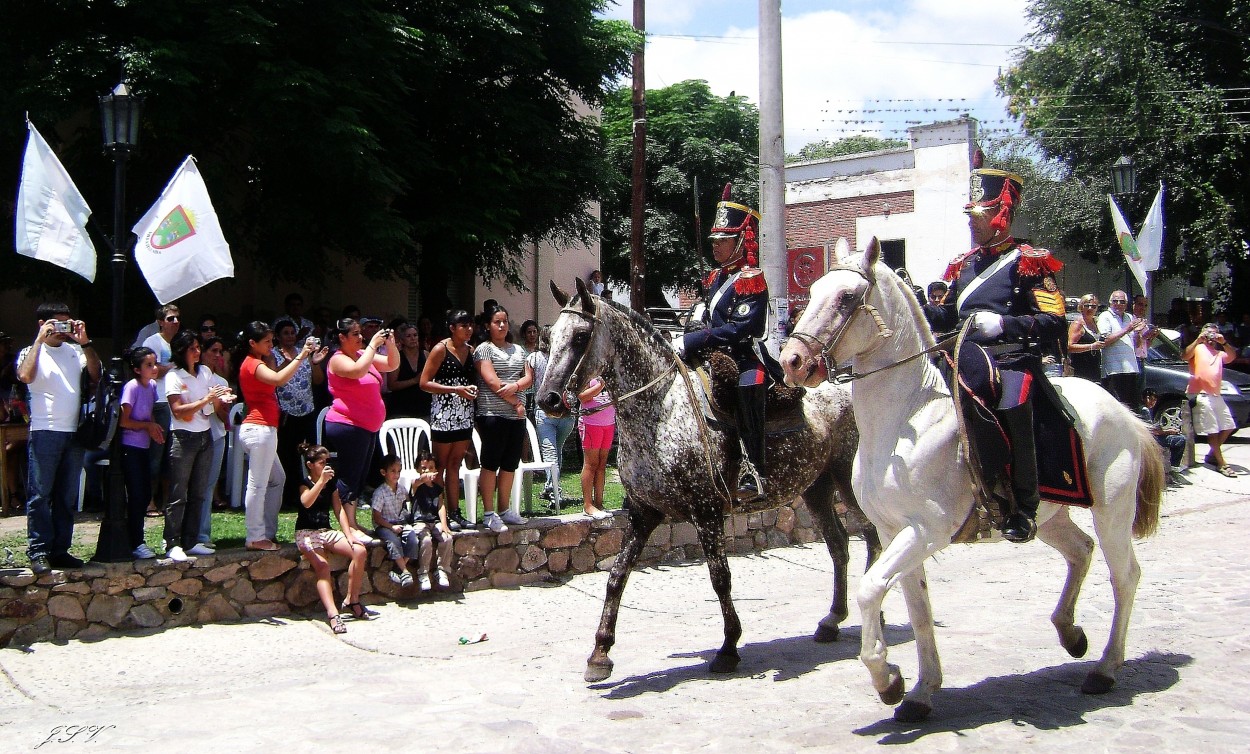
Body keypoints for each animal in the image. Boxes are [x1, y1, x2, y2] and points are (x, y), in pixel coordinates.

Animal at [537, 280, 880, 685]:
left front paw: (729, 648)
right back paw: (831, 620)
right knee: (840, 545)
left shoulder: (707, 512)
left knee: (873, 537)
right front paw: (600, 653)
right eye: (548, 339)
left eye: (580, 336)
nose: (548, 399)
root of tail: (845, 384)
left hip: (848, 484)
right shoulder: (642, 513)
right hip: (817, 488)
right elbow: (617, 575)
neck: (661, 411)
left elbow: (720, 577)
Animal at [780, 238, 1160, 725]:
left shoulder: (928, 530)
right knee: (1081, 550)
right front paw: (920, 691)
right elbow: (918, 610)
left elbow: (870, 590)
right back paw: (1070, 632)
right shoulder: (895, 530)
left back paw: (1106, 669)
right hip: (1050, 515)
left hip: (1113, 510)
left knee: (1124, 576)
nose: (792, 361)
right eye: (811, 292)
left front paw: (887, 679)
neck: (907, 416)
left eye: (847, 297)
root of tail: (1125, 409)